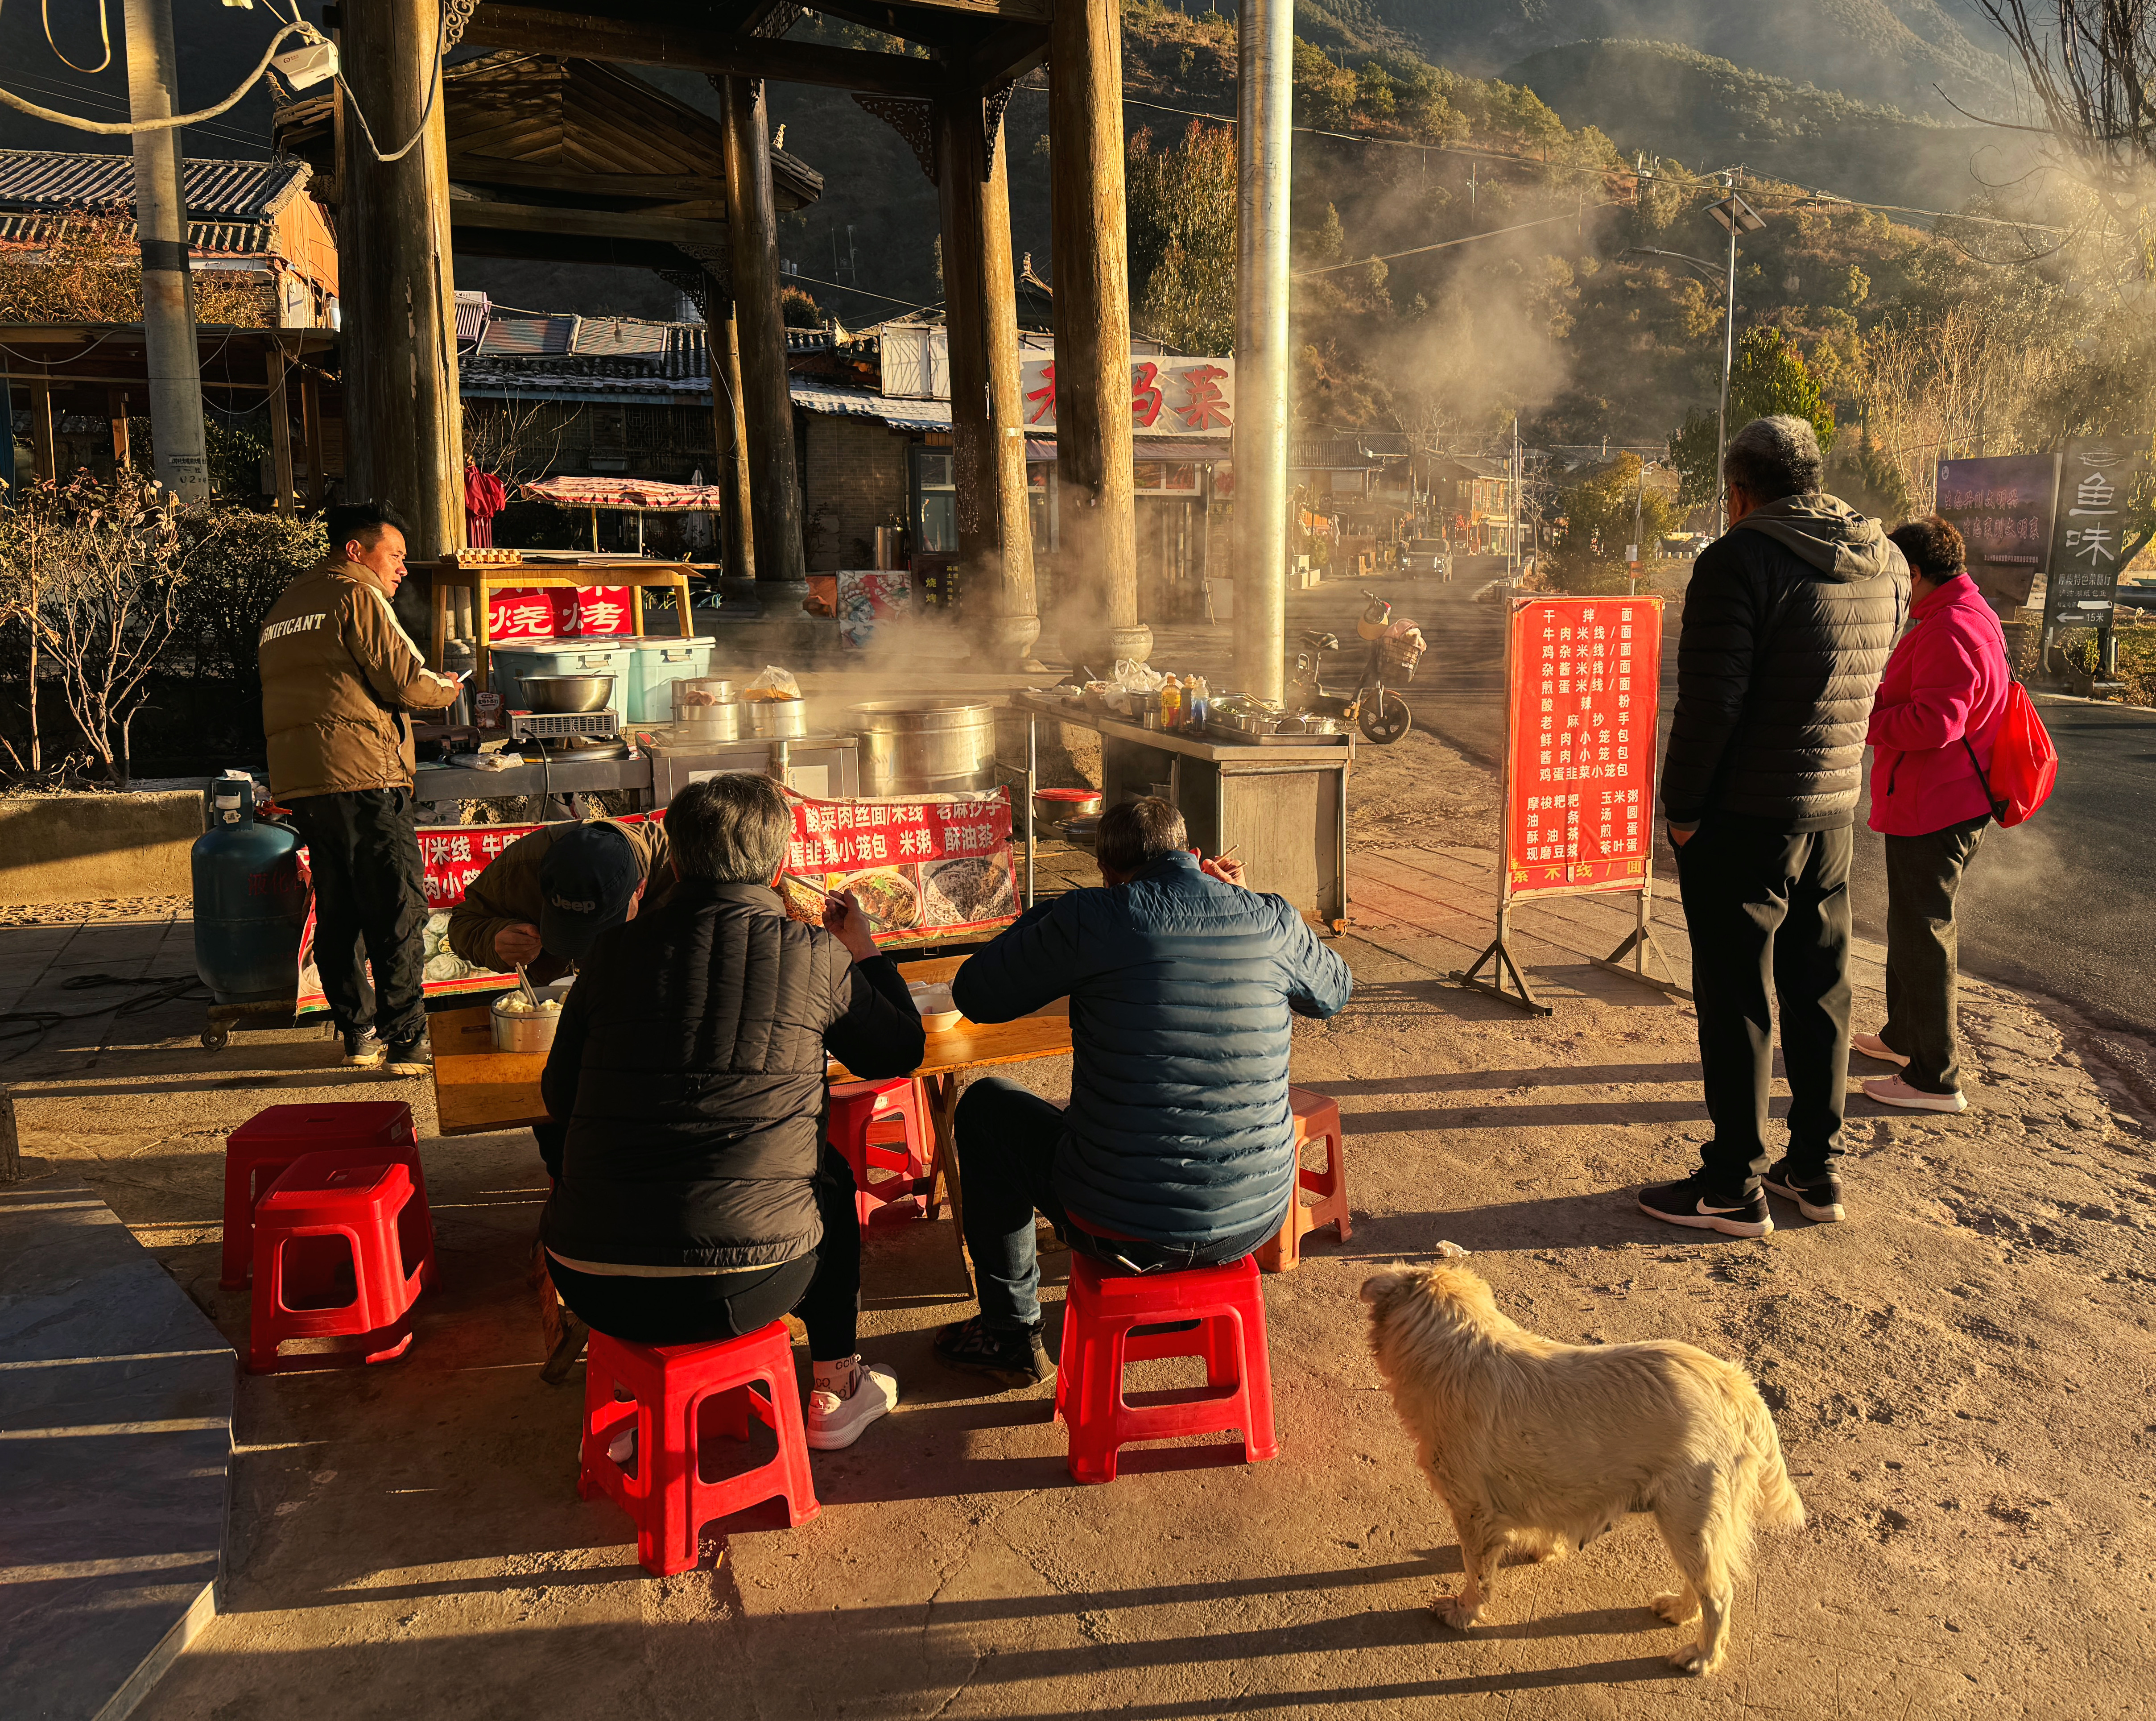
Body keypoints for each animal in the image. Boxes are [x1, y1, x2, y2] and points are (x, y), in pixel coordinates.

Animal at [1363, 1259, 1802, 1682]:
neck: (1462, 1352)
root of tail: (1737, 1386)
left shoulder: (1474, 1513)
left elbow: (1477, 1572)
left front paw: (1463, 1611)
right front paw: (1543, 1549)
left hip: (1688, 1520)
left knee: (1719, 1593)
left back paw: (1702, 1656)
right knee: (1704, 1583)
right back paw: (1679, 1610)